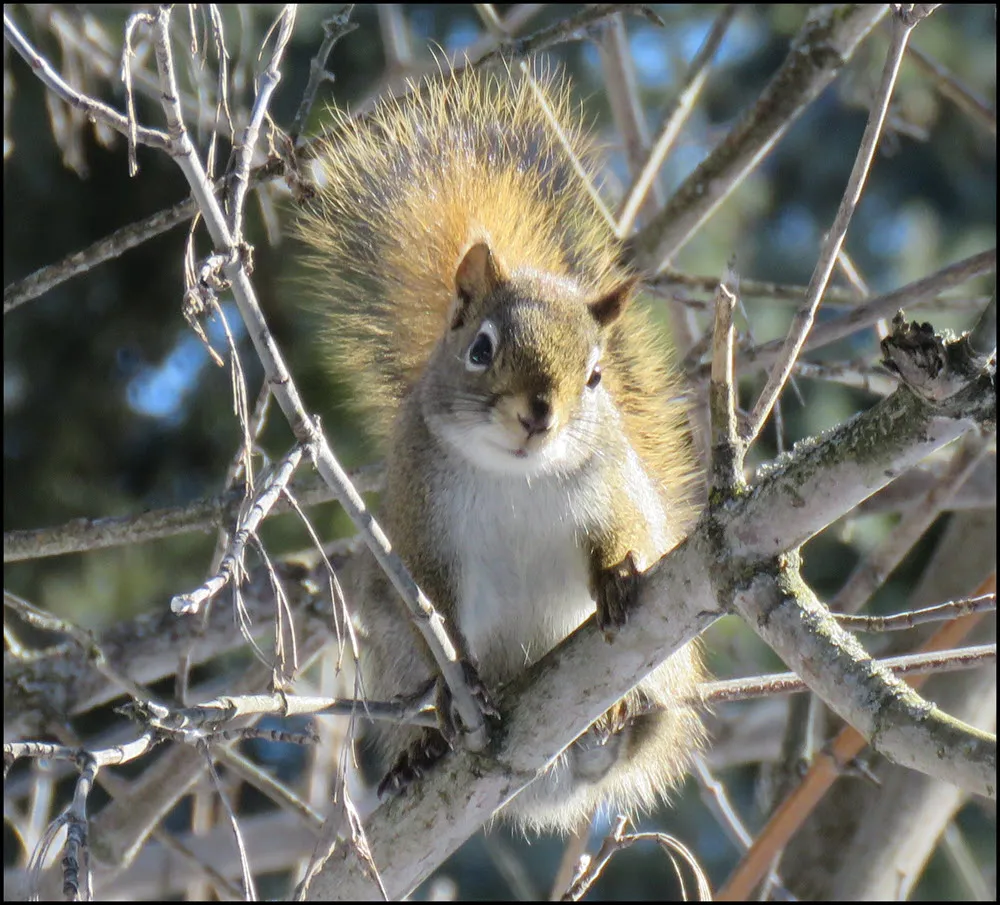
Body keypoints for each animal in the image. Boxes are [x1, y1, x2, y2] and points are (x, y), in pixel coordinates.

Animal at [292, 69, 708, 832]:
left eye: (595, 375)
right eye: (481, 349)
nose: (537, 415)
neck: (517, 478)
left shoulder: (614, 487)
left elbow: (626, 531)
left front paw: (616, 574)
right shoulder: (418, 524)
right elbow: (434, 608)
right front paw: (451, 689)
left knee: (640, 733)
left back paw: (621, 718)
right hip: (390, 651)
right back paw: (423, 748)